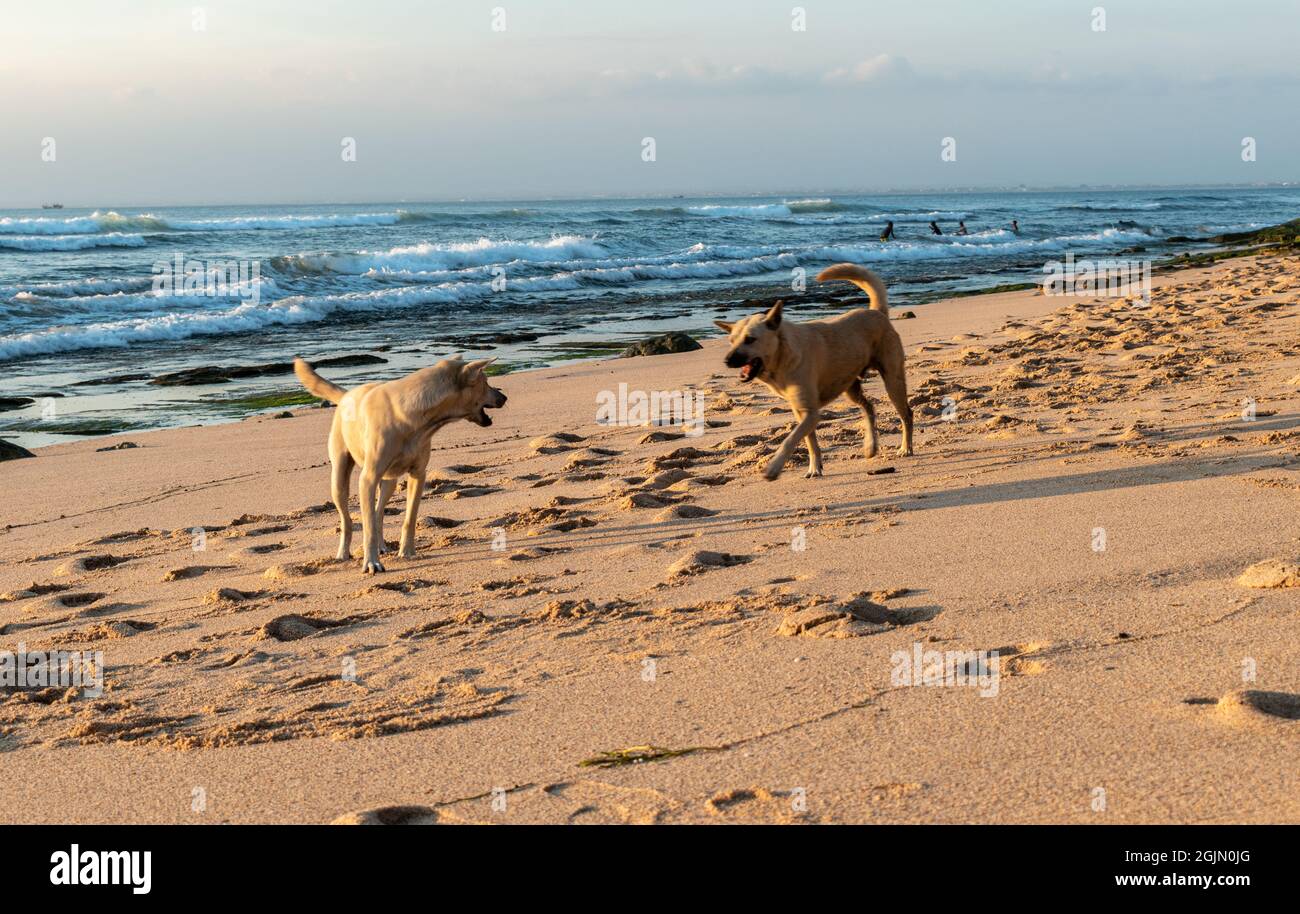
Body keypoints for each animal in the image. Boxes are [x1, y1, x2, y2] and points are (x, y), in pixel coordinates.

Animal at [292, 356, 504, 572]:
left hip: (389, 482)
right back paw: (343, 553)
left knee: (378, 514)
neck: (413, 416)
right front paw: (371, 563)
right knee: (348, 519)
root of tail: (346, 395)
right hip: (340, 476)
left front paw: (407, 552)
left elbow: (409, 517)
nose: (504, 397)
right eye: (486, 382)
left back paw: (382, 546)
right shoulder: (368, 478)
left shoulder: (418, 474)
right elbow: (367, 527)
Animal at [712, 262, 915, 483]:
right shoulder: (800, 412)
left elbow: (790, 440)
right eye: (731, 341)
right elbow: (809, 441)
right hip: (850, 387)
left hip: (893, 382)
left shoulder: (811, 412)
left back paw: (906, 448)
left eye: (750, 339)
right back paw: (871, 446)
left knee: (906, 414)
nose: (726, 360)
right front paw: (814, 467)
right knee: (869, 406)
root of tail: (877, 312)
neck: (783, 356)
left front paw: (773, 468)